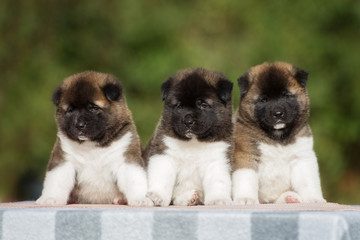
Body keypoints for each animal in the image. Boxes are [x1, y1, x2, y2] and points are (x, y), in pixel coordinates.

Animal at [37, 71, 153, 206]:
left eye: (93, 107)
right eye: (70, 110)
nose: (79, 125)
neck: (91, 145)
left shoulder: (126, 159)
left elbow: (135, 180)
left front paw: (141, 198)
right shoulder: (64, 160)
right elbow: (56, 180)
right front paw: (51, 198)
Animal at [143, 68, 233, 207]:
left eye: (203, 105)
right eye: (179, 106)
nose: (188, 121)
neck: (194, 141)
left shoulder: (217, 159)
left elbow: (218, 182)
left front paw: (218, 199)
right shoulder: (165, 154)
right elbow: (162, 177)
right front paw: (157, 196)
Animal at [232, 62, 328, 204]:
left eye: (286, 95)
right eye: (263, 100)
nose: (278, 113)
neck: (277, 138)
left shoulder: (301, 158)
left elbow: (308, 182)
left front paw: (314, 199)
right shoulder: (246, 156)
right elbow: (246, 179)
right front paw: (246, 199)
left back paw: (289, 198)